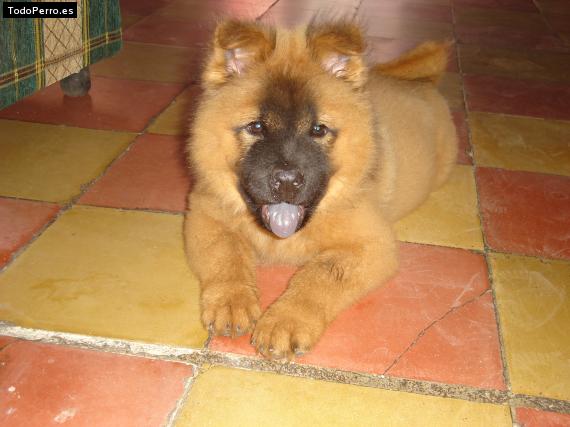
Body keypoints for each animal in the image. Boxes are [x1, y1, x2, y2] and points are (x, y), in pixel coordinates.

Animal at [184, 18, 454, 360]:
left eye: (318, 130)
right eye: (256, 127)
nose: (287, 180)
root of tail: (421, 81)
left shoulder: (372, 244)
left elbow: (319, 274)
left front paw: (284, 322)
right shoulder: (204, 213)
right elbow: (225, 253)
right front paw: (232, 304)